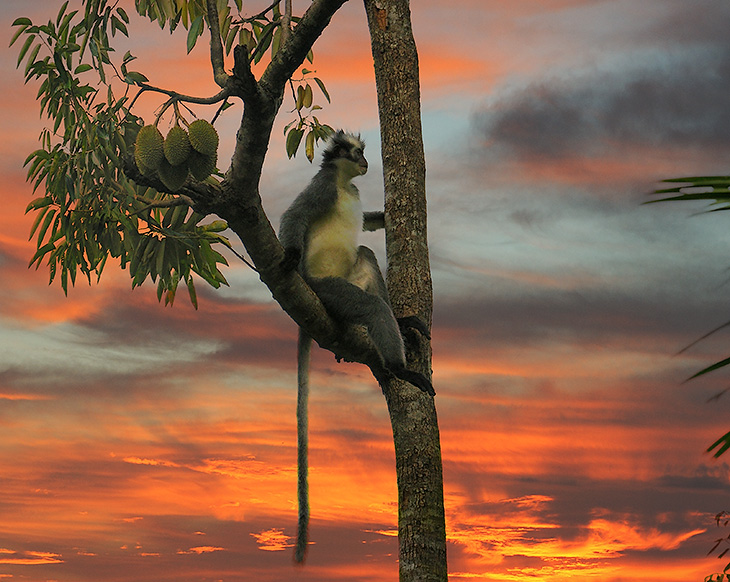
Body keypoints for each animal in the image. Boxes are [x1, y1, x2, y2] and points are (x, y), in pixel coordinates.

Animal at [276, 130, 430, 564]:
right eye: (357, 153)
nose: (365, 162)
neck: (346, 186)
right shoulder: (323, 186)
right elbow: (293, 216)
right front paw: (288, 255)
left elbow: (371, 223)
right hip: (330, 291)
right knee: (370, 305)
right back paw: (400, 368)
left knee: (366, 254)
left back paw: (403, 323)